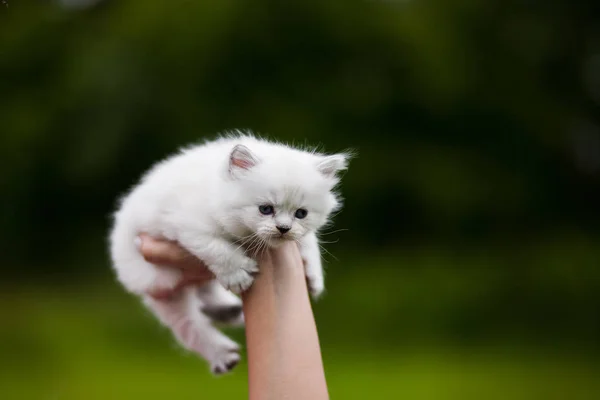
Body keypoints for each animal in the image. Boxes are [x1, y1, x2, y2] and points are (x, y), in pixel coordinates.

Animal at [110, 133, 350, 374]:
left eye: (301, 213)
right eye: (265, 209)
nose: (283, 228)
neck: (218, 191)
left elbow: (309, 240)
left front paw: (314, 277)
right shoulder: (188, 226)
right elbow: (217, 249)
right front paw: (238, 275)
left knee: (205, 293)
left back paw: (229, 311)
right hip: (162, 282)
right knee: (188, 323)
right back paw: (223, 356)